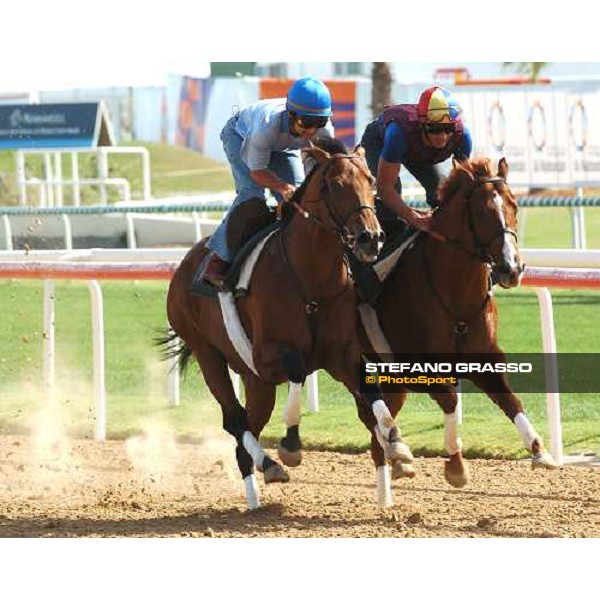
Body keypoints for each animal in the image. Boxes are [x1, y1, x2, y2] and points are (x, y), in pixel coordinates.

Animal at [165, 138, 408, 508]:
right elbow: (296, 368)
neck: (310, 278)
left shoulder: (340, 355)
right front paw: (291, 444)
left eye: (370, 180)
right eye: (335, 184)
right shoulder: (268, 355)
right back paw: (269, 464)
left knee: (246, 427)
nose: (371, 237)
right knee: (234, 419)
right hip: (208, 354)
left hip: (255, 381)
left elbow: (369, 388)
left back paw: (255, 493)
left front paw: (395, 440)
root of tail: (183, 266)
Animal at [356, 158, 556, 506]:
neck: (455, 290)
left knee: (377, 432)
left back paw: (391, 484)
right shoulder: (419, 367)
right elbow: (450, 401)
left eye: (514, 205)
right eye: (482, 212)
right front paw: (456, 466)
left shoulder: (484, 357)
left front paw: (538, 450)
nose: (511, 268)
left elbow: (510, 399)